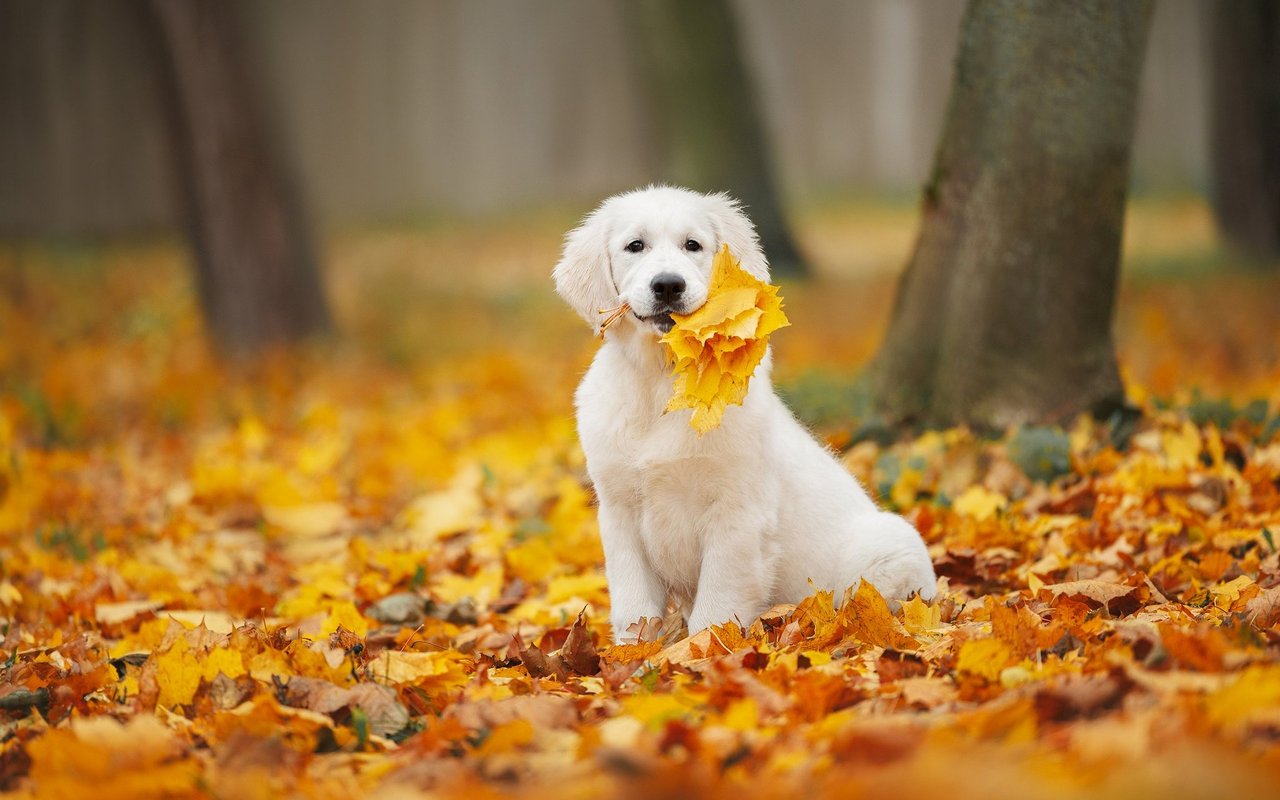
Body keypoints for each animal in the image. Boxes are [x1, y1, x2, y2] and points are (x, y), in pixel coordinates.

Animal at [555, 184, 936, 640]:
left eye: (693, 245)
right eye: (635, 246)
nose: (668, 285)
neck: (663, 380)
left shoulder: (737, 512)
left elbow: (716, 608)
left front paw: (703, 650)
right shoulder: (619, 511)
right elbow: (634, 607)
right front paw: (633, 652)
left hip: (893, 546)